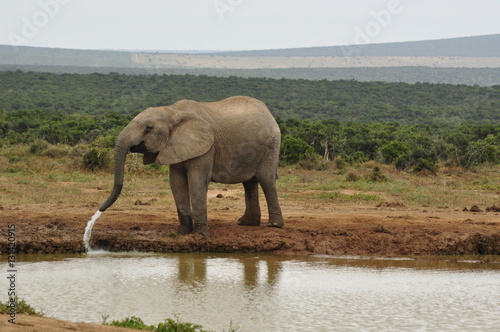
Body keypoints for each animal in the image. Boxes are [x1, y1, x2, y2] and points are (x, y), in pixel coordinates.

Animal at [98, 96, 286, 236]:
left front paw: (199, 235)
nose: (100, 210)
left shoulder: (206, 147)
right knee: (249, 183)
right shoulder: (174, 146)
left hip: (271, 143)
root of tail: (269, 112)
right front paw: (182, 232)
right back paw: (247, 223)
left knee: (265, 179)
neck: (173, 111)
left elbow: (197, 181)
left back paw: (274, 225)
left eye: (149, 128)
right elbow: (176, 182)